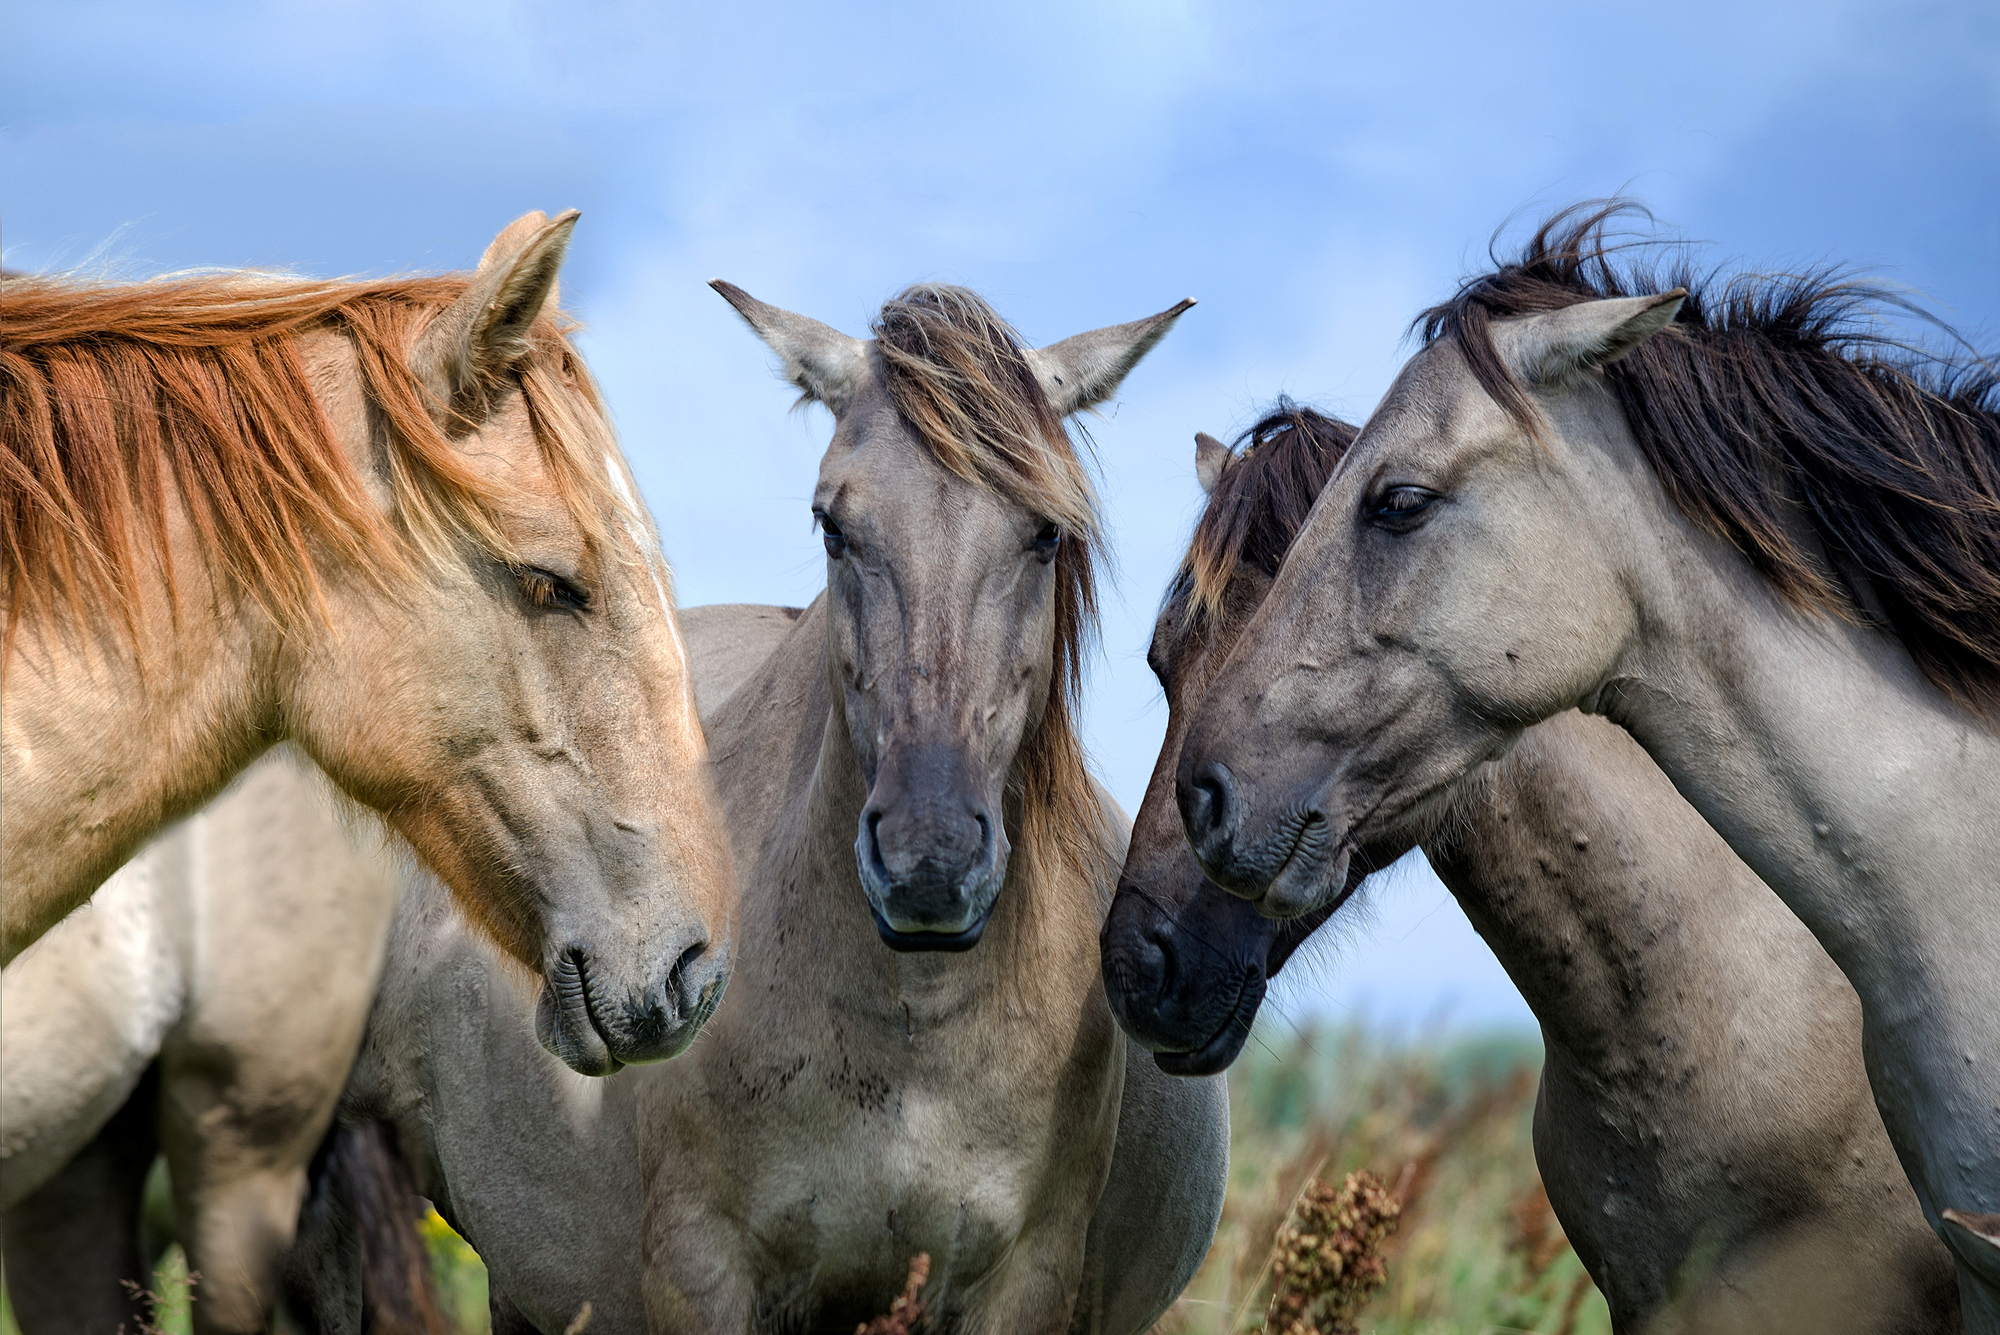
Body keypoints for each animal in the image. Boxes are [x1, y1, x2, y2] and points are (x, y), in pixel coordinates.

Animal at [296, 281, 1224, 1335]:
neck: (912, 1036)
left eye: (1046, 532)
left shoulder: (1025, 1283)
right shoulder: (701, 1268)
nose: (930, 863)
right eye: (833, 524)